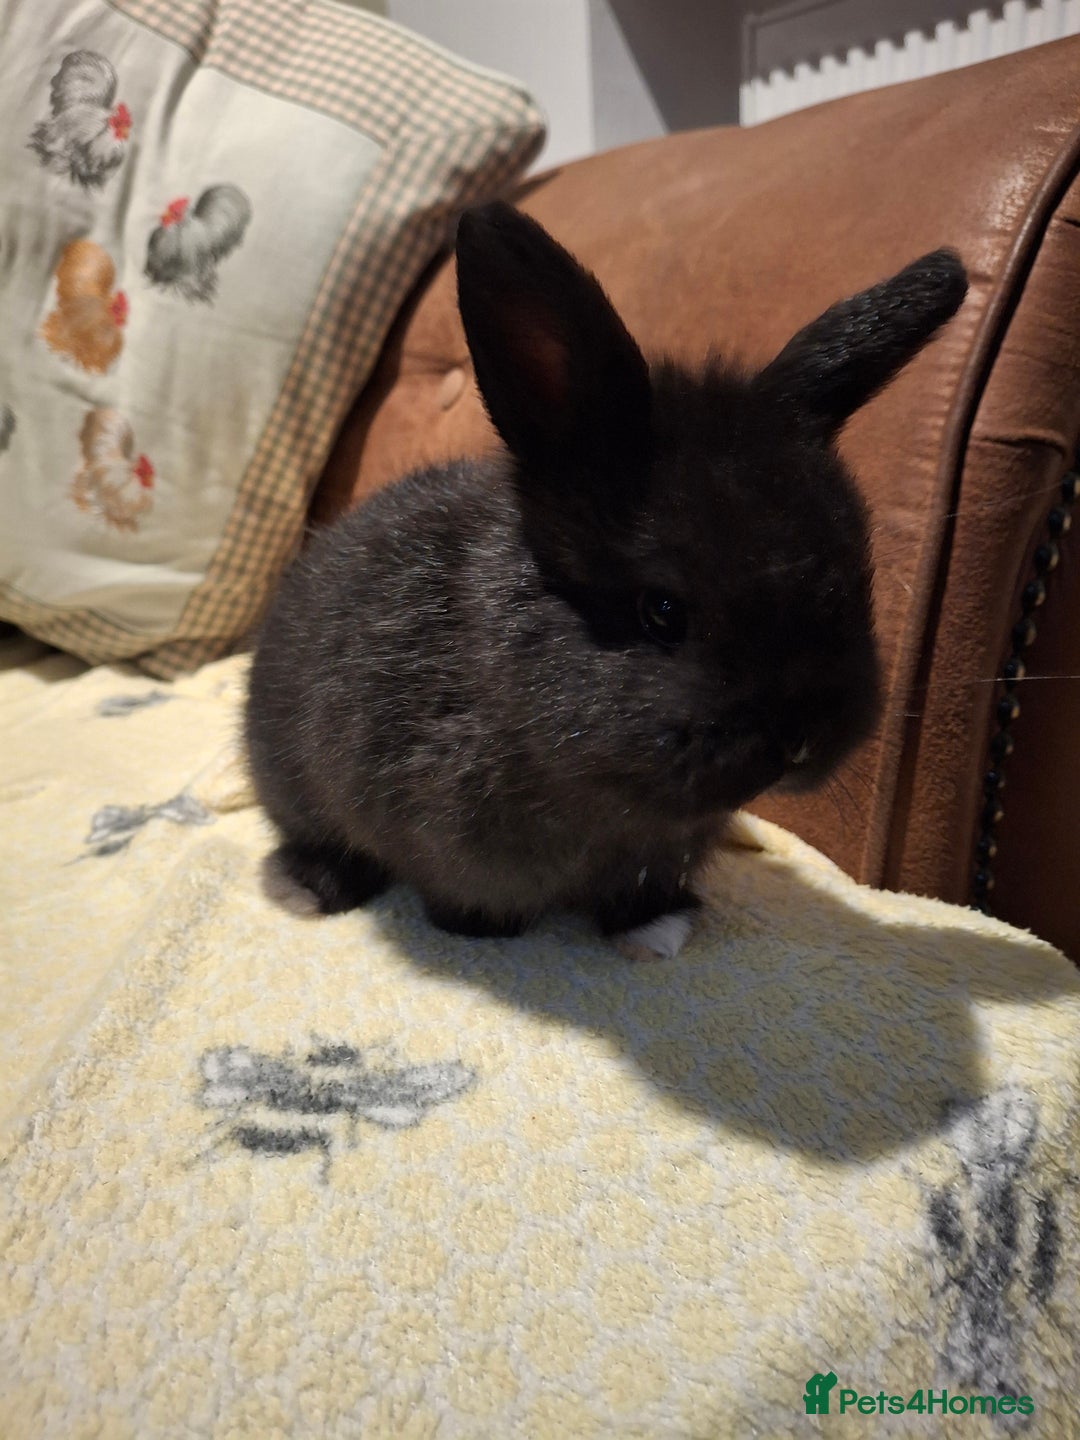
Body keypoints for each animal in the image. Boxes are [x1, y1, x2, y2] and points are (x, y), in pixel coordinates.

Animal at [245, 201, 967, 960]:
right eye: (663, 609)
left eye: (855, 579)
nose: (804, 739)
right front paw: (481, 928)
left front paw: (657, 931)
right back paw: (307, 886)